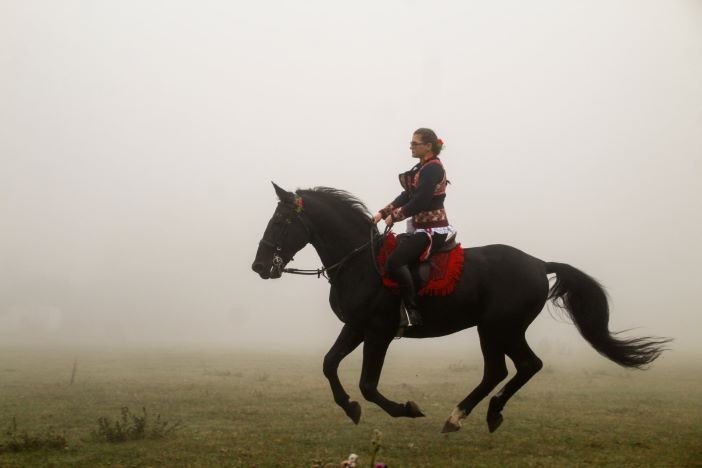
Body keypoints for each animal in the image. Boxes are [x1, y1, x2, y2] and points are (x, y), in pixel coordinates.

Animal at [252, 183, 672, 432]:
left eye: (282, 219)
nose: (259, 265)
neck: (359, 262)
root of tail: (538, 264)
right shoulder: (355, 327)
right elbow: (329, 365)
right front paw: (350, 408)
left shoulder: (378, 332)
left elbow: (368, 384)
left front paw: (406, 409)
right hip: (503, 330)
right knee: (521, 367)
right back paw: (488, 412)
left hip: (496, 328)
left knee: (506, 369)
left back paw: (460, 415)